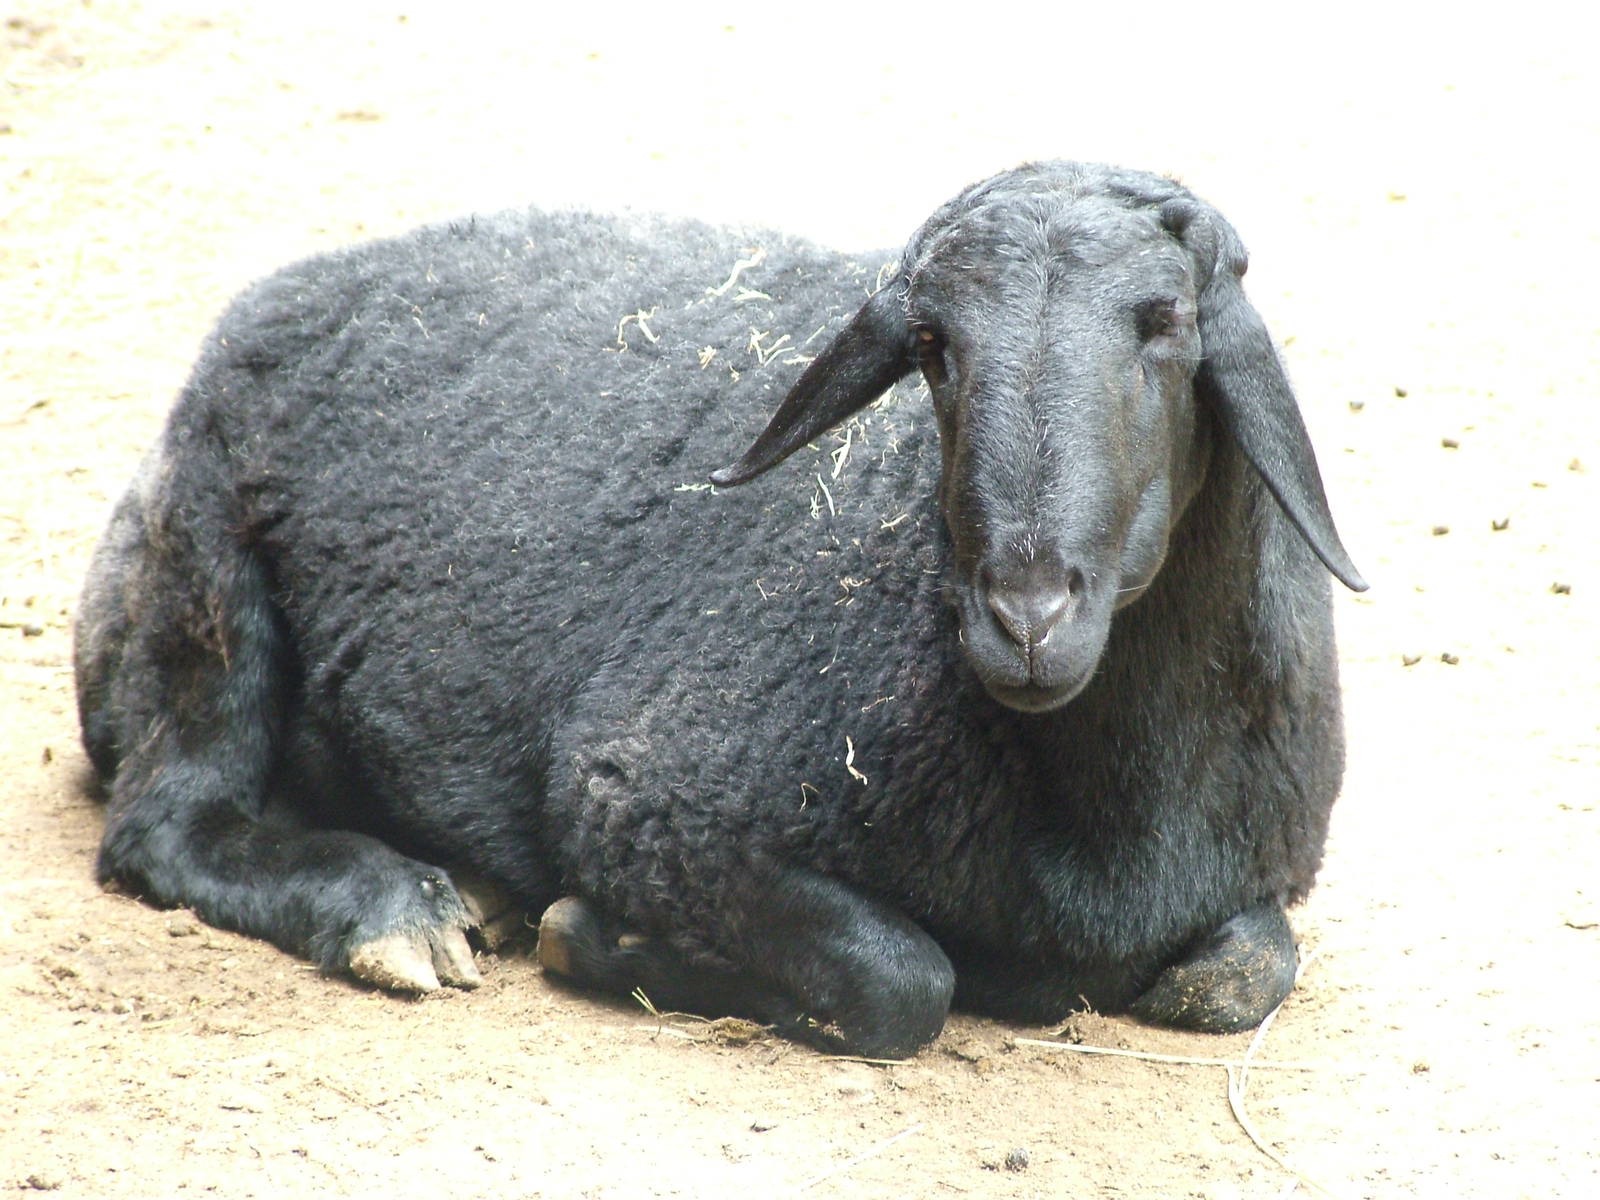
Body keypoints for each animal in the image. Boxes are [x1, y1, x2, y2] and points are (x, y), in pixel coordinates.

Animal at [76, 160, 1365, 1059]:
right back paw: (398, 907)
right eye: (933, 344)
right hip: (206, 580)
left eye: (1165, 325)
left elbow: (1242, 971)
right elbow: (901, 980)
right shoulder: (651, 804)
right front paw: (607, 941)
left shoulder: (1252, 885)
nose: (1025, 613)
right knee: (168, 822)